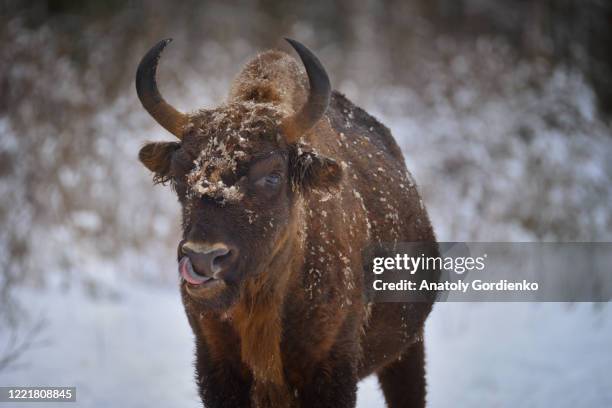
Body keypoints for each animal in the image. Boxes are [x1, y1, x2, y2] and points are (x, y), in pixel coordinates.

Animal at [136, 37, 438, 404]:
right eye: (181, 174)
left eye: (273, 175)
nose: (203, 258)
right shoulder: (214, 363)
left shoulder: (331, 369)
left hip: (408, 349)